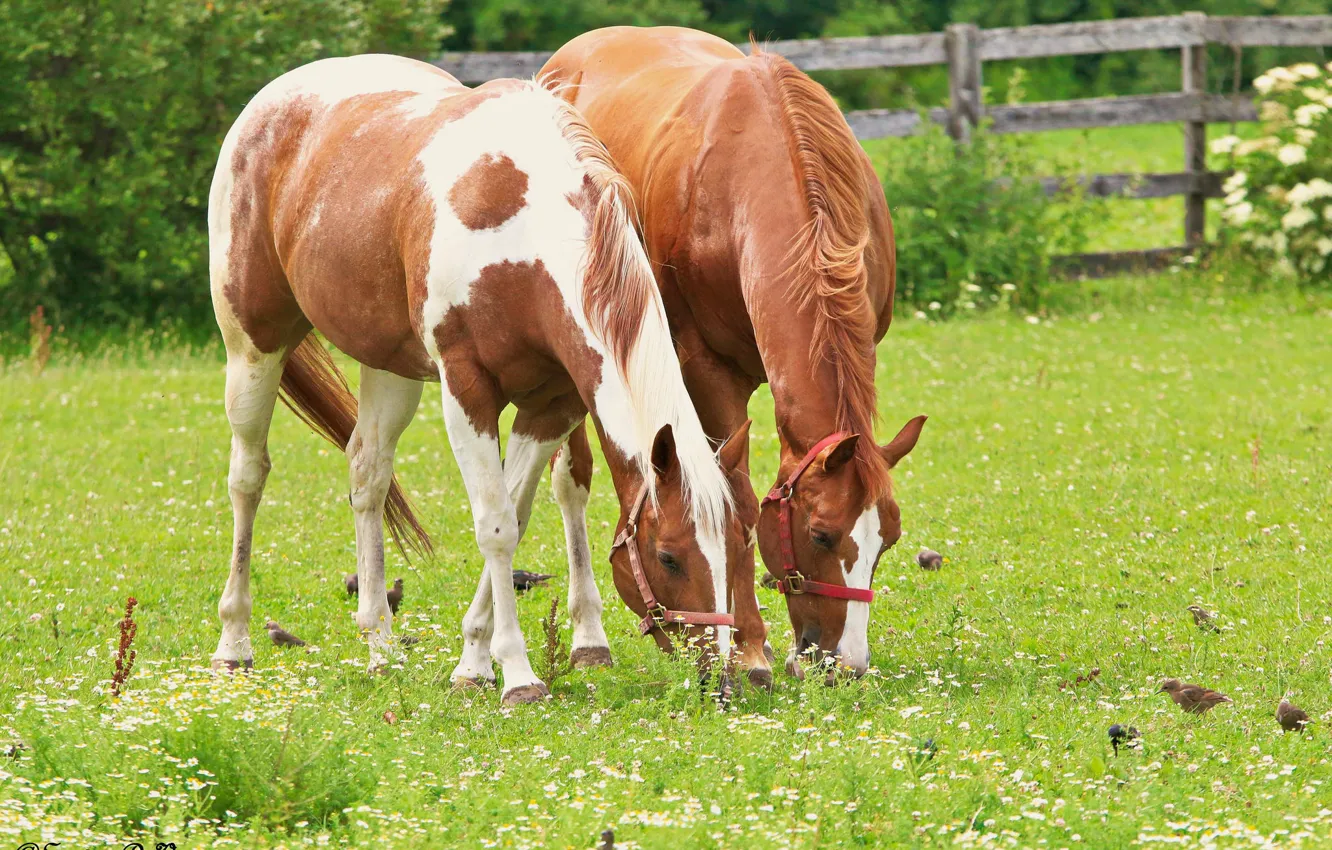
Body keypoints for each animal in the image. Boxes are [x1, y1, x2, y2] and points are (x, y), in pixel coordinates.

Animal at [207, 54, 759, 705]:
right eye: (669, 557)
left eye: (739, 546)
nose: (721, 680)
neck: (522, 233)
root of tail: (271, 101)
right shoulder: (466, 392)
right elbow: (494, 526)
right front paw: (516, 674)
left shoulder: (553, 403)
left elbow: (515, 517)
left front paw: (473, 662)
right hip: (253, 346)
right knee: (248, 477)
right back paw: (234, 643)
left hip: (389, 368)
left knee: (367, 474)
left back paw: (380, 645)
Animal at [541, 28, 927, 680]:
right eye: (820, 536)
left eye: (890, 538)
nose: (846, 664)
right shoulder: (704, 372)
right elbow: (735, 504)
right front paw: (750, 644)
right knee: (572, 483)